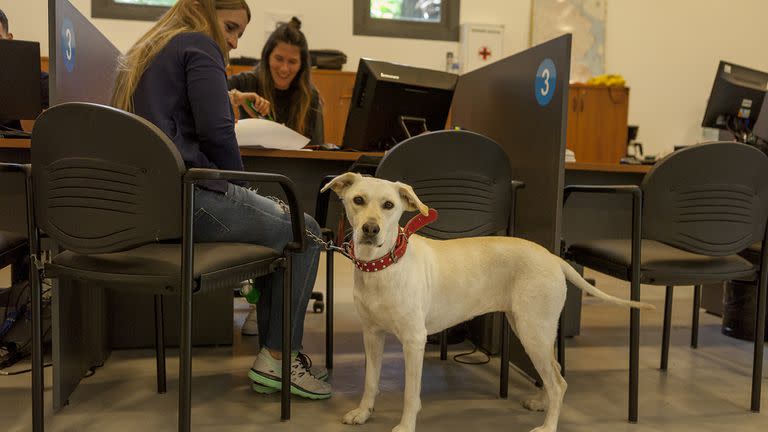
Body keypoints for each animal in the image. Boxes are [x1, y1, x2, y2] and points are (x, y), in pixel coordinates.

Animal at [320, 173, 652, 432]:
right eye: (358, 200)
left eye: (389, 205)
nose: (370, 229)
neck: (383, 266)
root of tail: (553, 257)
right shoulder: (372, 335)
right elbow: (370, 381)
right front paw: (363, 412)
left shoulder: (414, 341)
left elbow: (411, 394)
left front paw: (405, 425)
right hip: (531, 329)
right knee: (555, 371)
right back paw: (540, 403)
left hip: (532, 331)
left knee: (558, 382)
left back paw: (548, 425)